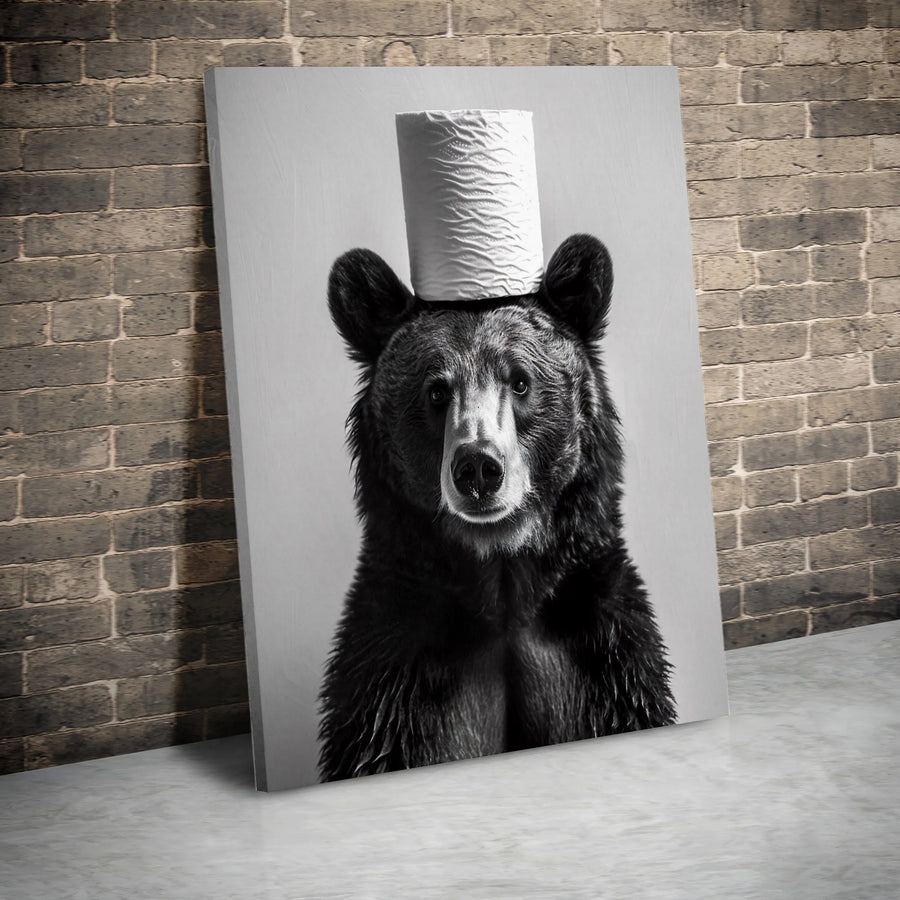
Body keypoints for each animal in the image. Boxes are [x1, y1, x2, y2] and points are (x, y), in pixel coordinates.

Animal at [318, 233, 676, 782]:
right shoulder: (398, 683)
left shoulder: (600, 666)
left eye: (521, 381)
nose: (479, 469)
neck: (503, 580)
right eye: (436, 390)